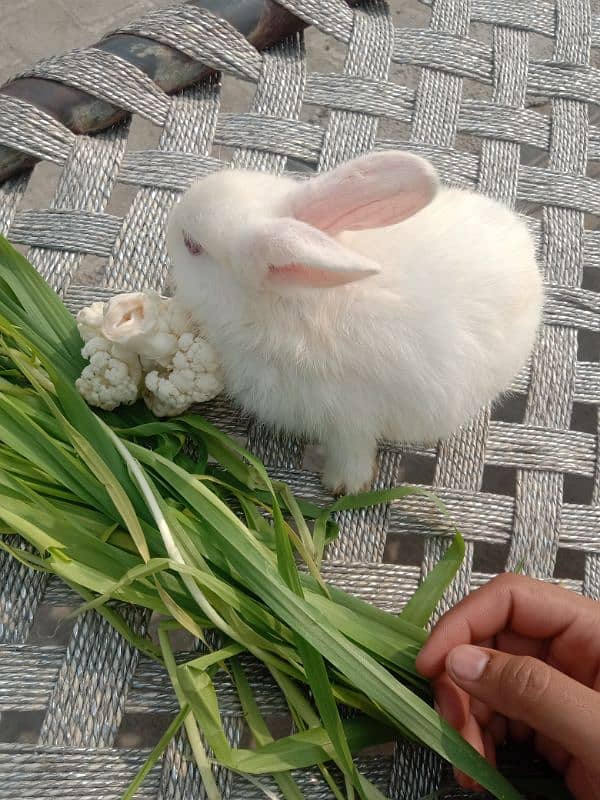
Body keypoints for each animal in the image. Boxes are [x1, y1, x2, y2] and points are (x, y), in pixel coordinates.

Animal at [166, 152, 540, 494]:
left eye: (192, 245)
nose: (172, 216)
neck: (288, 304)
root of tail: (529, 259)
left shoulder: (349, 417)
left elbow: (352, 449)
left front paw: (343, 485)